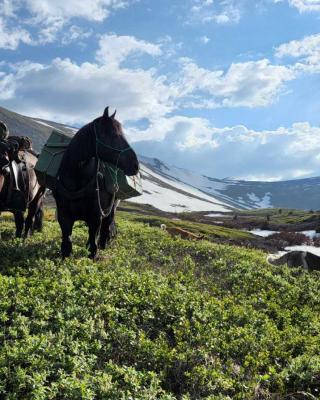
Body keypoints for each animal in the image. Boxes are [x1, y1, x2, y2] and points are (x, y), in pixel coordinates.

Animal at [53, 106, 139, 260]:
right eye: (114, 135)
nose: (136, 165)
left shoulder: (96, 217)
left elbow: (93, 245)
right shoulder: (64, 216)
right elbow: (67, 244)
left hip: (111, 209)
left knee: (106, 228)